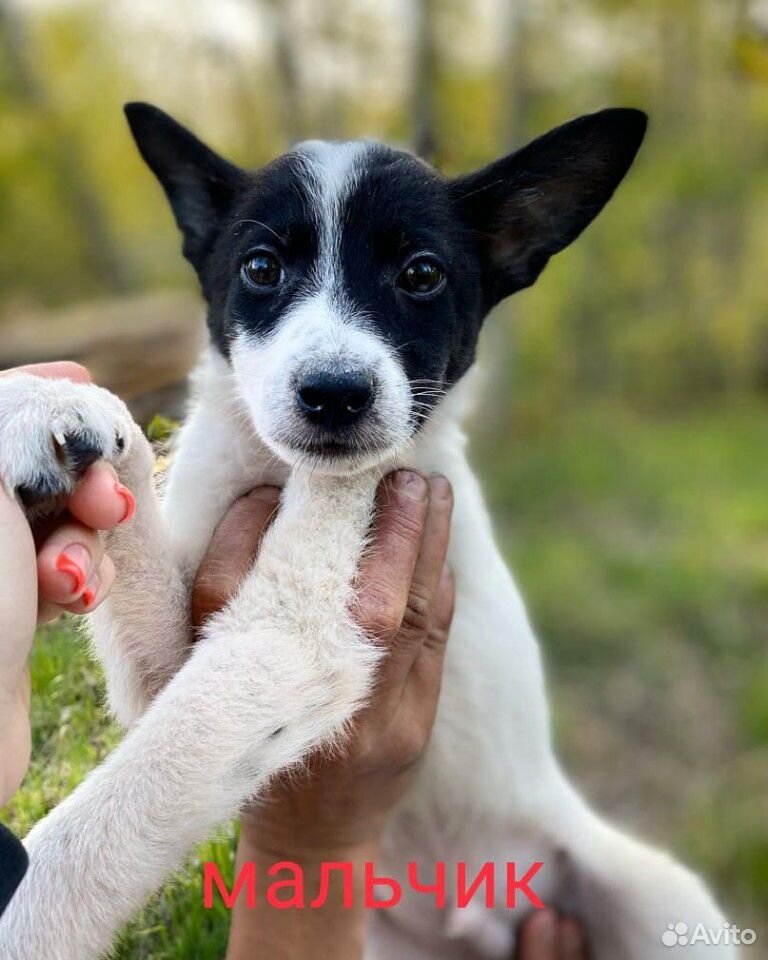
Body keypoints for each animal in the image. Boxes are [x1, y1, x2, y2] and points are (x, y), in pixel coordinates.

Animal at [0, 105, 728, 960]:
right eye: (260, 268)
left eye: (421, 274)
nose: (335, 395)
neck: (279, 473)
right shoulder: (165, 664)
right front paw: (44, 405)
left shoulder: (292, 639)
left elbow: (117, 805)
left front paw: (28, 915)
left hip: (654, 901)